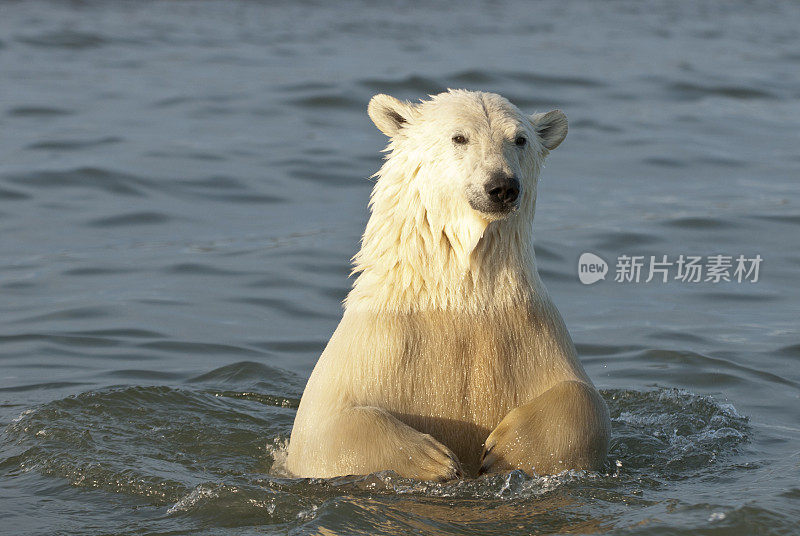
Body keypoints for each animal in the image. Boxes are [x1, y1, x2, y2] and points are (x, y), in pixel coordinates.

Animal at [286, 89, 608, 482]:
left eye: (520, 139)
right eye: (459, 137)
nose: (502, 186)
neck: (456, 299)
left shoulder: (535, 340)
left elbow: (586, 400)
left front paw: (505, 451)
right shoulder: (371, 355)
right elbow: (326, 431)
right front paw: (435, 461)